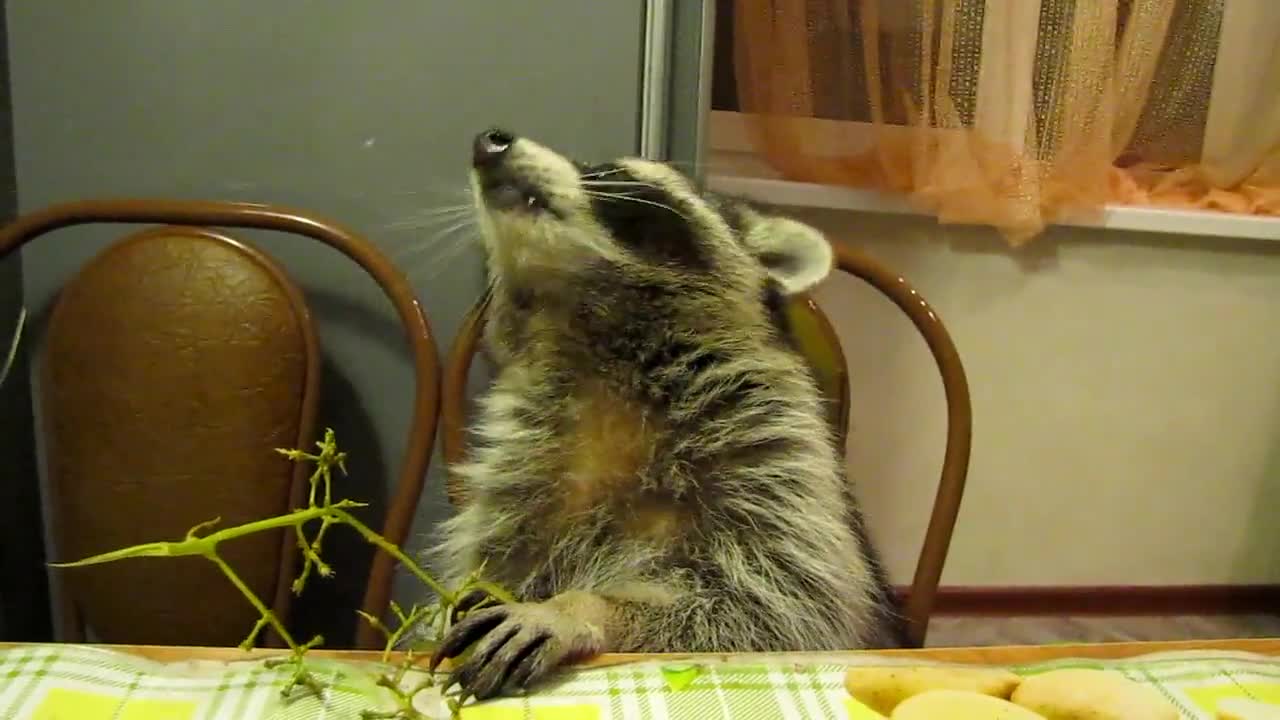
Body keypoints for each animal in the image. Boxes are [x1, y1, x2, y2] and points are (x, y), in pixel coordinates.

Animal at [424, 127, 906, 696]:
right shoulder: (516, 482)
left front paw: (579, 609)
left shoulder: (776, 470)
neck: (597, 337)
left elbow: (775, 613)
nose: (488, 143)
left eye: (609, 172)